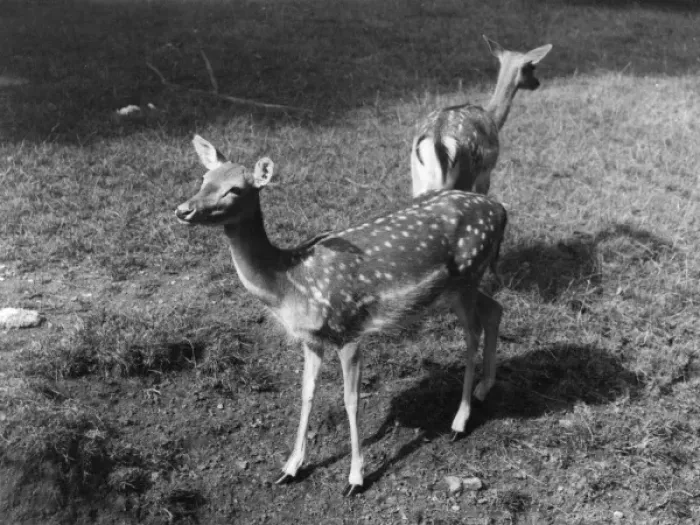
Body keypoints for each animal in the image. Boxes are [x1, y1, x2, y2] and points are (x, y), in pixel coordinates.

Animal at [176, 135, 508, 496]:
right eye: (204, 178)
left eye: (235, 189)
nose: (183, 210)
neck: (288, 283)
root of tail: (501, 210)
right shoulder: (311, 340)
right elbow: (306, 393)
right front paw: (290, 468)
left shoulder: (347, 328)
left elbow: (351, 400)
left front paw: (355, 478)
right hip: (458, 289)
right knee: (495, 309)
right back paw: (484, 388)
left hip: (468, 275)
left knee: (473, 333)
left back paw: (459, 421)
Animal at [411, 35, 553, 198]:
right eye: (532, 67)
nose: (537, 83)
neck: (493, 118)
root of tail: (438, 139)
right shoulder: (486, 172)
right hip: (467, 172)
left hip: (417, 178)